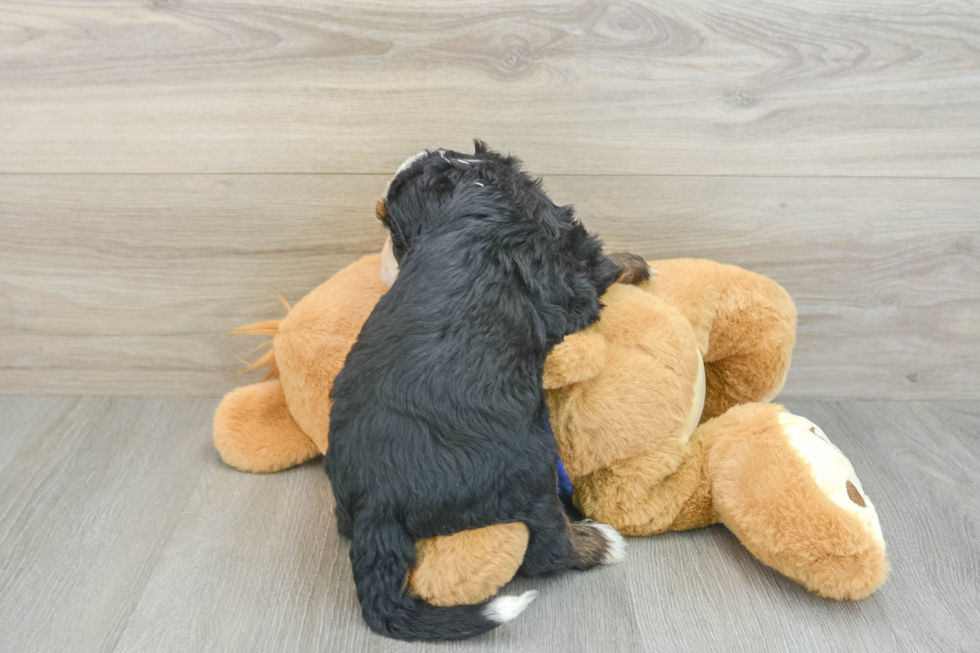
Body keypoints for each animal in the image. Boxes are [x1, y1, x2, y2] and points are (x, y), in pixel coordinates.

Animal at [326, 141, 640, 636]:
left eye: (391, 229)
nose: (383, 271)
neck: (471, 182)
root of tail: (377, 502)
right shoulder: (573, 269)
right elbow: (605, 268)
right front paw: (639, 265)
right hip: (530, 463)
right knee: (548, 547)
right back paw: (599, 543)